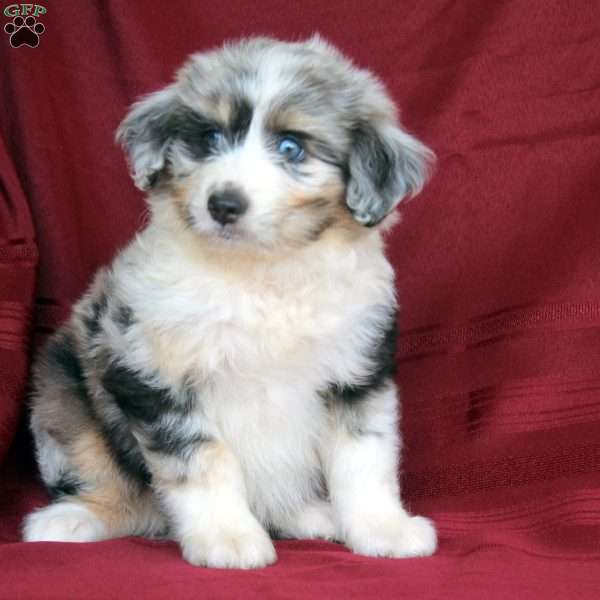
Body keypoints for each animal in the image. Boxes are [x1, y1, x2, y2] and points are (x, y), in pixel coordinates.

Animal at [22, 35, 436, 568]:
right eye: (211, 138)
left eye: (291, 147)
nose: (223, 204)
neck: (260, 271)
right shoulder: (155, 370)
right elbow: (202, 461)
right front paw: (228, 539)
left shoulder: (358, 371)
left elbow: (366, 458)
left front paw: (384, 529)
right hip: (63, 395)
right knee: (115, 482)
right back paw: (70, 520)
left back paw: (309, 516)